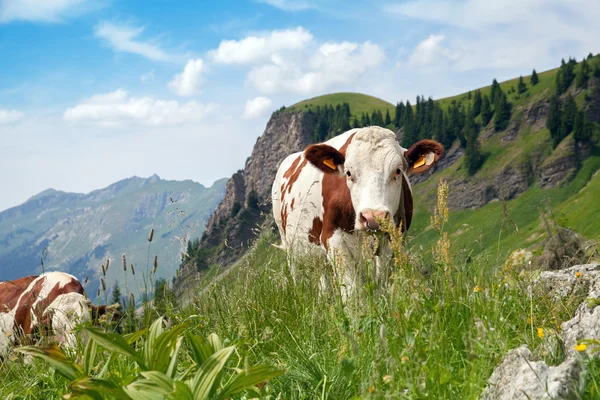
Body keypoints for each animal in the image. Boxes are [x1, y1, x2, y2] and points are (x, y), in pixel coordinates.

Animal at [270, 126, 440, 296]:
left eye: (398, 171)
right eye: (348, 173)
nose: (373, 218)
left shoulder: (392, 240)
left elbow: (381, 287)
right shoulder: (332, 238)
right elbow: (351, 293)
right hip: (289, 245)